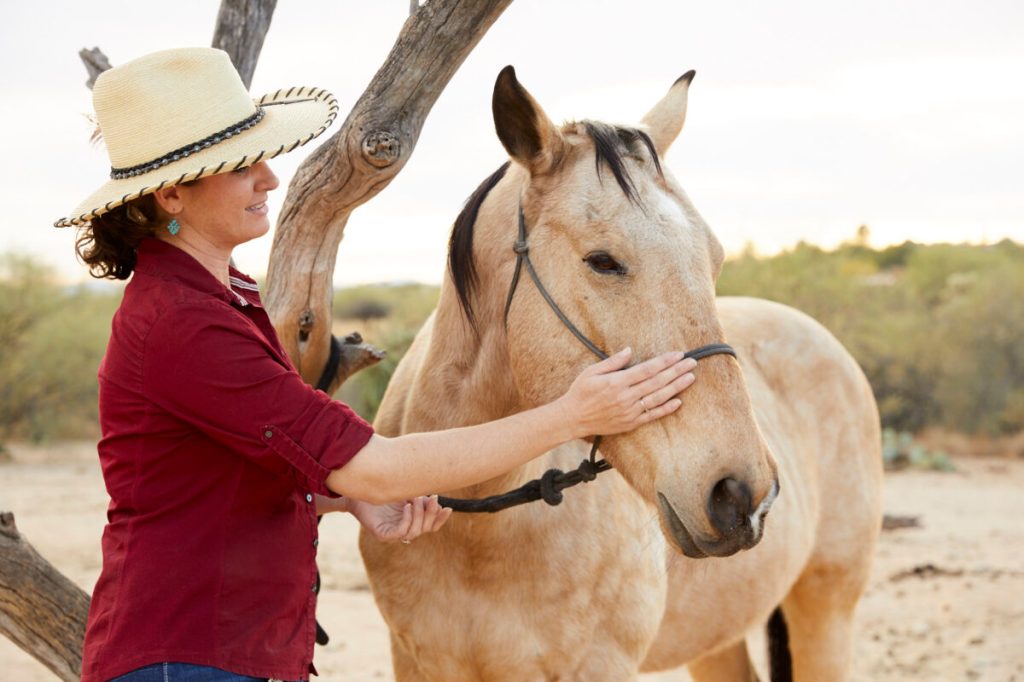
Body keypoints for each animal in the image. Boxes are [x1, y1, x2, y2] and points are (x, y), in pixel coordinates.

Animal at [356, 65, 884, 679]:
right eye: (603, 261)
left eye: (716, 259)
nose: (740, 493)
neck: (475, 525)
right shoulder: (416, 660)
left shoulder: (600, 663)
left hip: (826, 608)